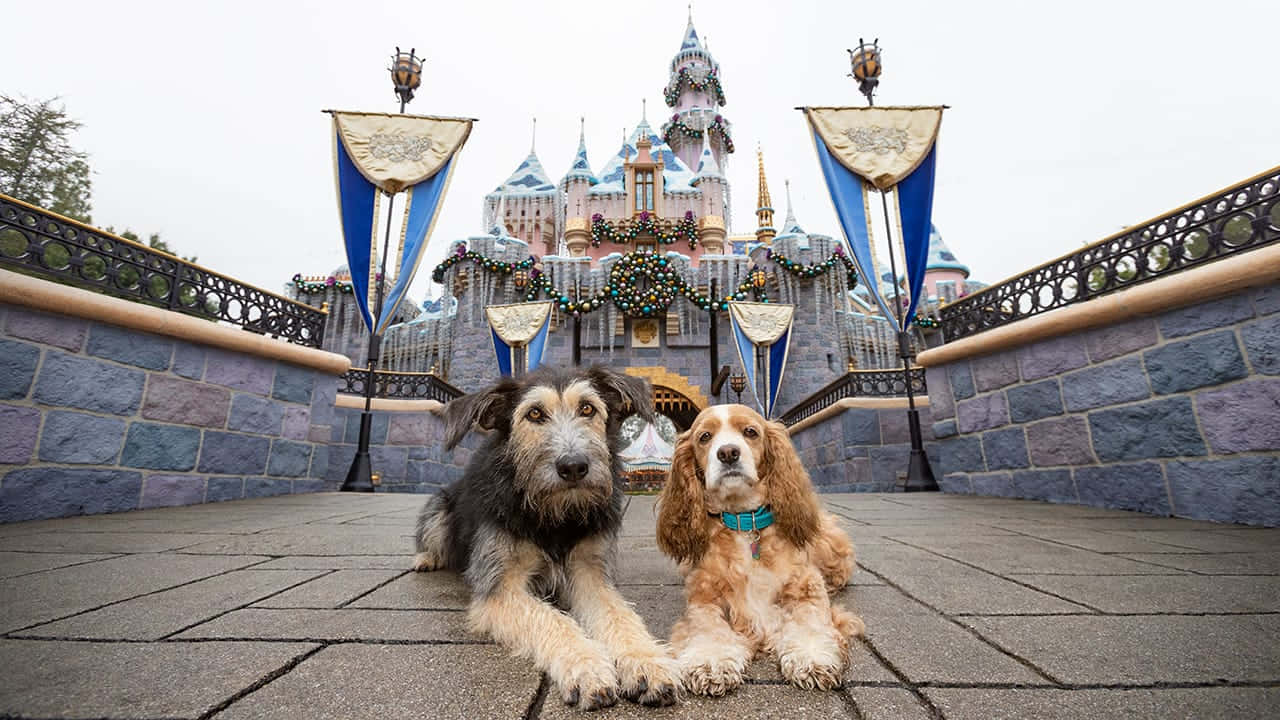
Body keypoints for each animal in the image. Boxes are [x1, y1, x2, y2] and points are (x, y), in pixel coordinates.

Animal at [417, 363, 680, 707]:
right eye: (535, 414)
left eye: (587, 408)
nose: (574, 467)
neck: (555, 516)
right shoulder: (501, 587)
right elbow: (552, 619)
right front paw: (587, 667)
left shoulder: (589, 570)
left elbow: (619, 615)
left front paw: (647, 662)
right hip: (439, 508)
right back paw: (426, 559)